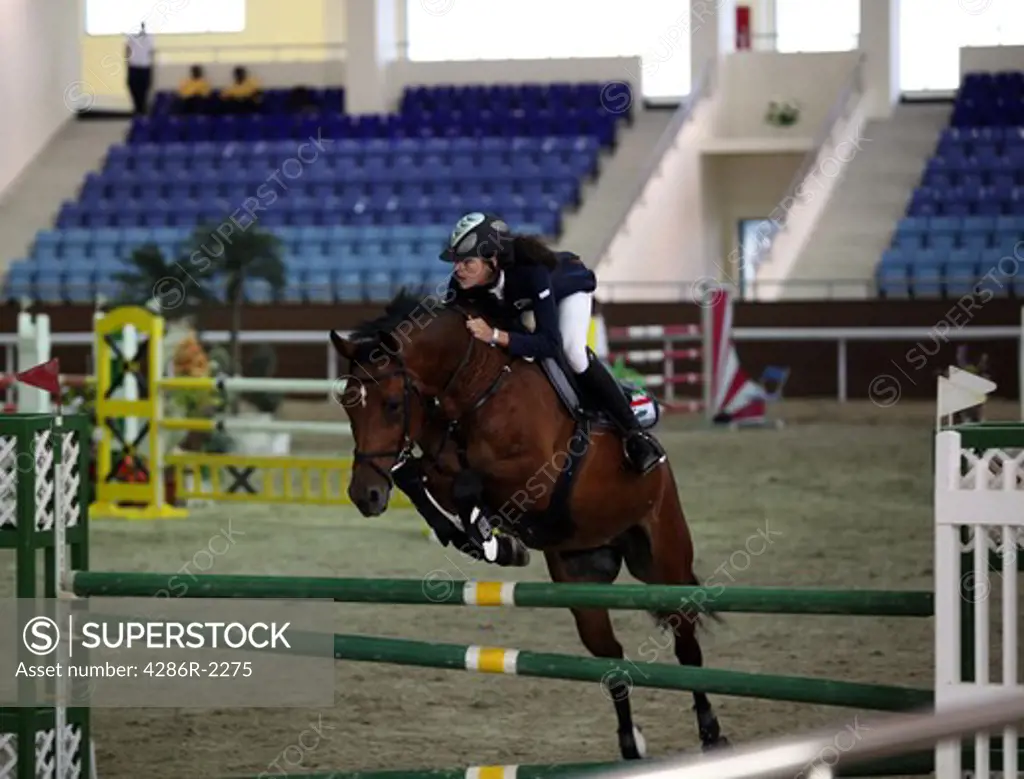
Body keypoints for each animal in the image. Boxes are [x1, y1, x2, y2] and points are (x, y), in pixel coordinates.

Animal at [327, 288, 729, 757]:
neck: (474, 384)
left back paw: (710, 732)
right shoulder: (440, 457)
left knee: (686, 643)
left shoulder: (534, 475)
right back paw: (631, 744)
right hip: (581, 577)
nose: (365, 496)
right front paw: (483, 539)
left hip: (664, 557)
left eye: (392, 406)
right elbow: (420, 475)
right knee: (610, 654)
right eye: (349, 408)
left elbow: (466, 482)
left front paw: (489, 539)